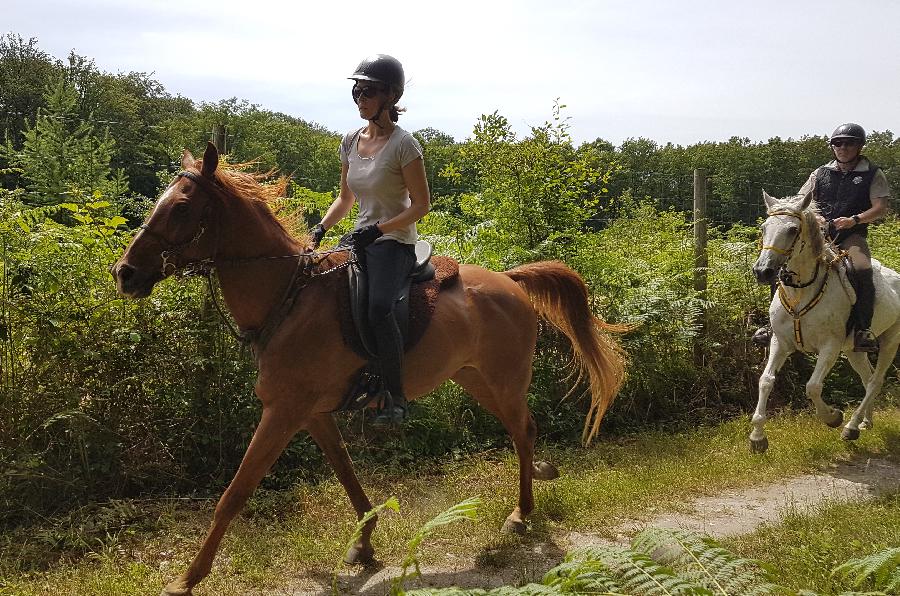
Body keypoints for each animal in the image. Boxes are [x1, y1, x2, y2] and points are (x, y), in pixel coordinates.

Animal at [112, 142, 624, 592]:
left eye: (181, 208)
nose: (125, 273)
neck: (289, 297)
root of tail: (511, 281)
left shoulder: (282, 413)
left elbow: (233, 495)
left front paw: (187, 578)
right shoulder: (311, 413)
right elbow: (345, 472)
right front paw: (364, 543)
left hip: (504, 380)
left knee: (523, 430)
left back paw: (520, 514)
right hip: (476, 379)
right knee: (522, 430)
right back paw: (534, 486)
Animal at [748, 191, 900, 452]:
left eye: (792, 229)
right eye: (764, 227)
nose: (763, 271)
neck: (801, 293)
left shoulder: (830, 347)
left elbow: (813, 387)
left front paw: (833, 417)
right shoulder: (781, 342)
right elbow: (766, 381)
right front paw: (758, 436)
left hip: (890, 341)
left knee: (875, 381)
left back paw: (851, 426)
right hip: (854, 350)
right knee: (868, 377)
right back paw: (865, 422)